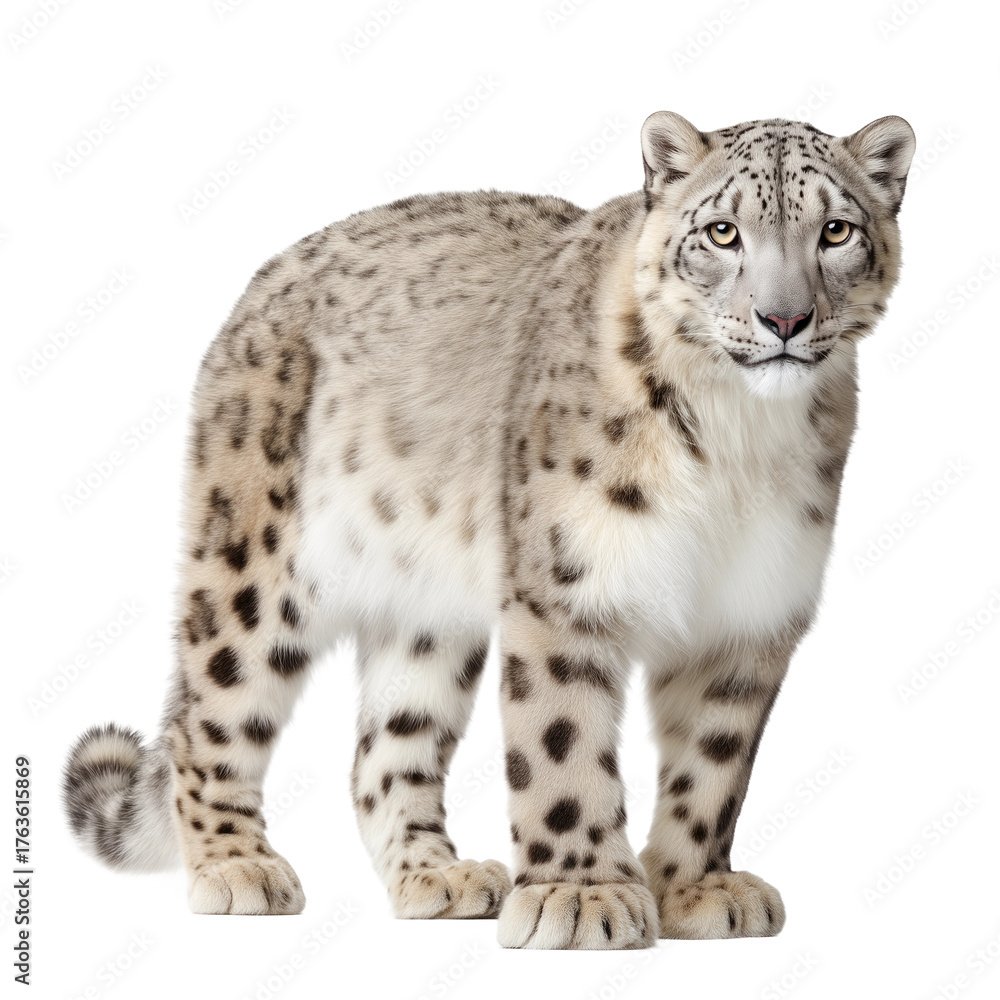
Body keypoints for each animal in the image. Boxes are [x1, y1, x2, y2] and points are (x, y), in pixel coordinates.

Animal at [63, 109, 914, 949]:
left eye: (836, 231)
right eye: (723, 233)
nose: (785, 317)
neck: (740, 437)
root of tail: (258, 287)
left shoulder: (751, 609)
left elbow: (714, 762)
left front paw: (694, 886)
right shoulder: (566, 589)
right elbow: (563, 745)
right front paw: (584, 895)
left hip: (426, 617)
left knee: (383, 750)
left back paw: (438, 876)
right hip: (254, 567)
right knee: (210, 714)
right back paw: (238, 866)